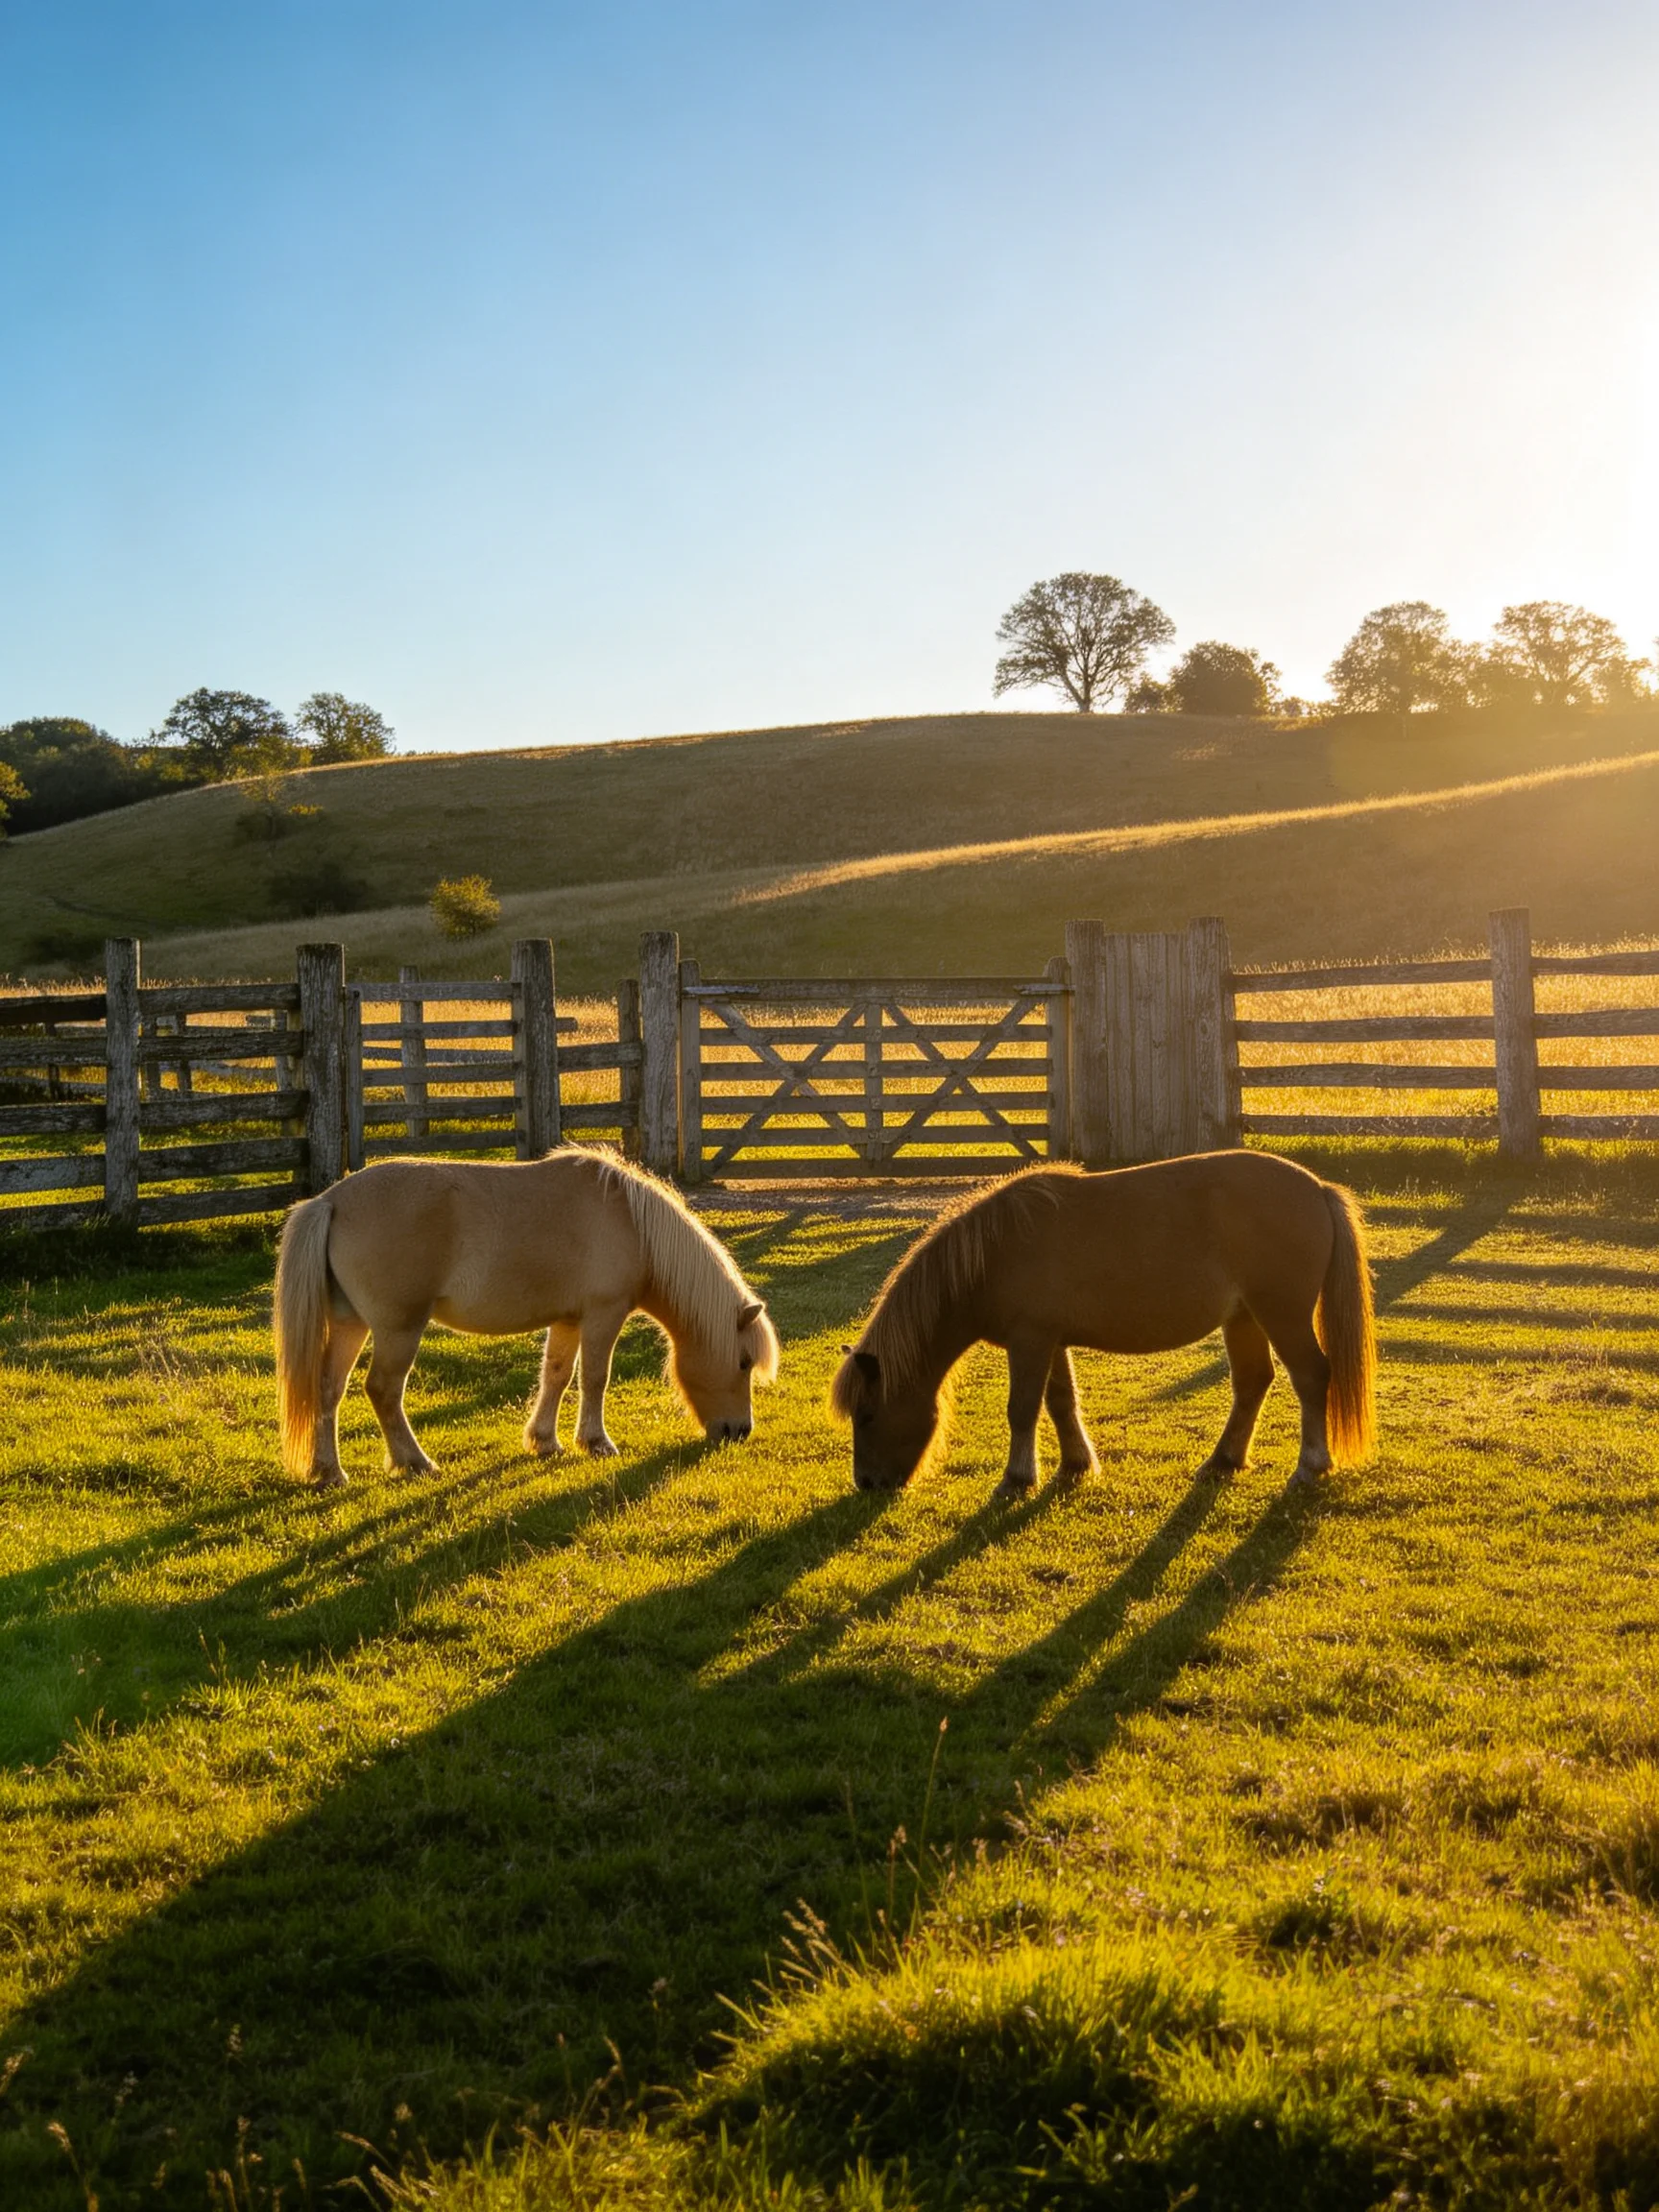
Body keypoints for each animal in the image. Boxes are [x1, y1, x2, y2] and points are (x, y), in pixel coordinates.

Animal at [274, 1148, 778, 1487]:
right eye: (742, 1362)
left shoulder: (569, 1319)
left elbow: (556, 1375)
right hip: (399, 1329)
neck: (631, 1223)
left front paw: (545, 1441)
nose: (739, 1431)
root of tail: (331, 1201)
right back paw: (415, 1462)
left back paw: (329, 1471)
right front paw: (596, 1442)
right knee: (382, 1390)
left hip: (351, 1325)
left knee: (328, 1389)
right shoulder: (603, 1314)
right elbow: (595, 1377)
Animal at [832, 1151, 1374, 1497]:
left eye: (867, 1414)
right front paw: (1075, 1466)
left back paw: (1309, 1466)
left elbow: (1022, 1410)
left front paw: (1016, 1479)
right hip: (1243, 1319)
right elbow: (1060, 1402)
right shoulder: (1049, 1341)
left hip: (1280, 1314)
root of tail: (1317, 1189)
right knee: (1252, 1383)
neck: (993, 1254)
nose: (867, 1484)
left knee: (1310, 1377)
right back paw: (1222, 1462)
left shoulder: (1029, 1342)